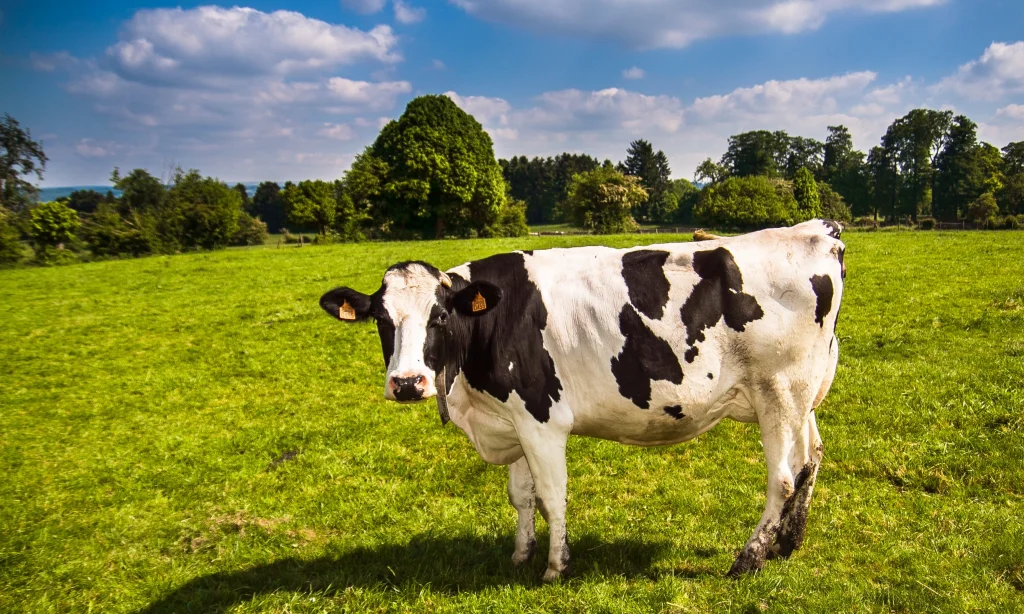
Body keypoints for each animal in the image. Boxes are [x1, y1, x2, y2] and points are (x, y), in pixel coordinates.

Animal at [318, 219, 845, 581]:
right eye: (382, 320)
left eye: (440, 317)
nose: (408, 383)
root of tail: (817, 230)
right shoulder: (512, 418)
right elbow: (521, 495)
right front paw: (520, 554)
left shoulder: (541, 419)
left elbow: (552, 495)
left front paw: (555, 566)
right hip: (802, 395)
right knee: (811, 458)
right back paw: (787, 542)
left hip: (778, 391)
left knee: (782, 477)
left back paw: (750, 557)